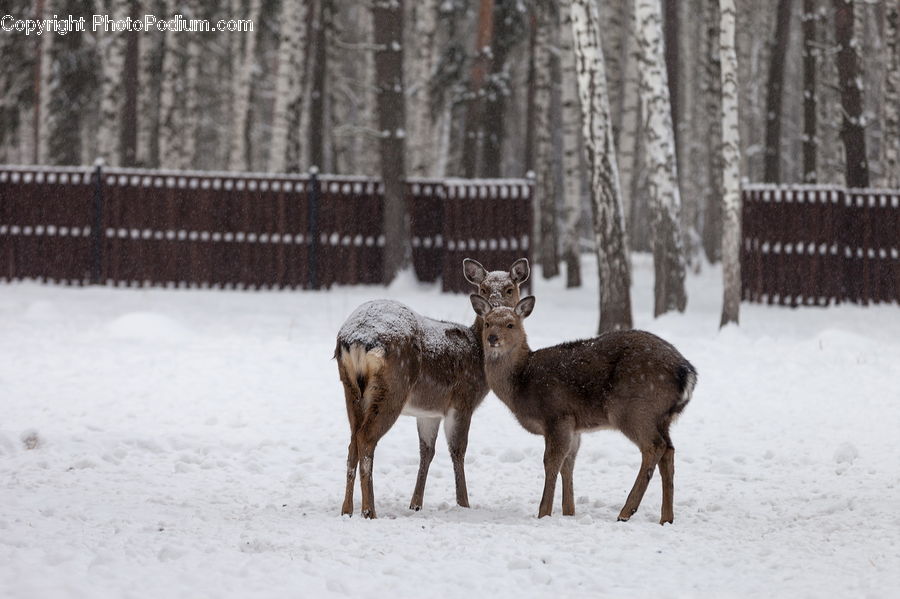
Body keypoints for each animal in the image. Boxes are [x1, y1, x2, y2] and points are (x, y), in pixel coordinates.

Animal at [335, 258, 530, 518]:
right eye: (483, 288)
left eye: (510, 288)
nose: (494, 309)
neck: (478, 355)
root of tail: (358, 338)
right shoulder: (462, 400)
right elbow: (458, 450)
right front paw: (463, 503)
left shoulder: (429, 412)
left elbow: (426, 452)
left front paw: (415, 504)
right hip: (393, 388)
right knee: (366, 439)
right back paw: (369, 511)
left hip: (350, 389)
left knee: (352, 443)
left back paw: (346, 509)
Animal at [469, 294, 697, 524]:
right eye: (487, 323)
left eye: (510, 324)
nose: (492, 338)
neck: (522, 382)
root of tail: (686, 373)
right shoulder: (574, 426)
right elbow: (568, 464)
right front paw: (569, 511)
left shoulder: (557, 414)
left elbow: (551, 462)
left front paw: (543, 513)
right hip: (662, 416)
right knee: (669, 450)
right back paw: (666, 518)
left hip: (632, 409)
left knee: (654, 446)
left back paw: (626, 512)